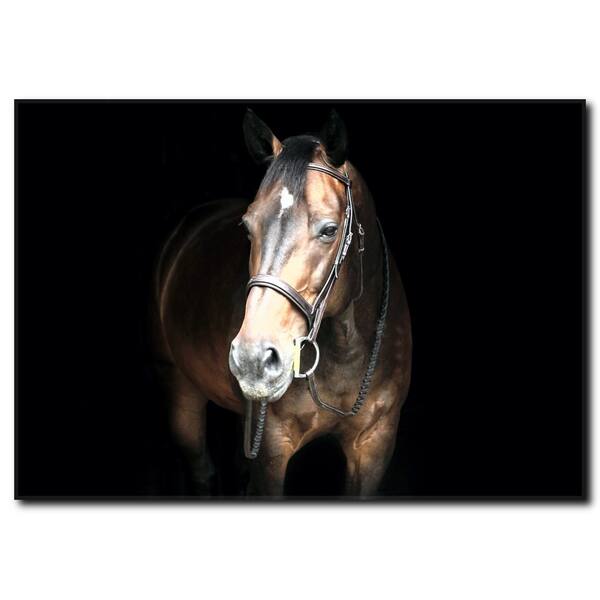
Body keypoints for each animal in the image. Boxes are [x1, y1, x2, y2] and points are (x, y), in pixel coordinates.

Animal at [153, 109, 412, 497]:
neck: (346, 350)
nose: (253, 359)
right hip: (179, 386)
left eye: (329, 230)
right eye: (247, 227)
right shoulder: (272, 449)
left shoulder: (375, 445)